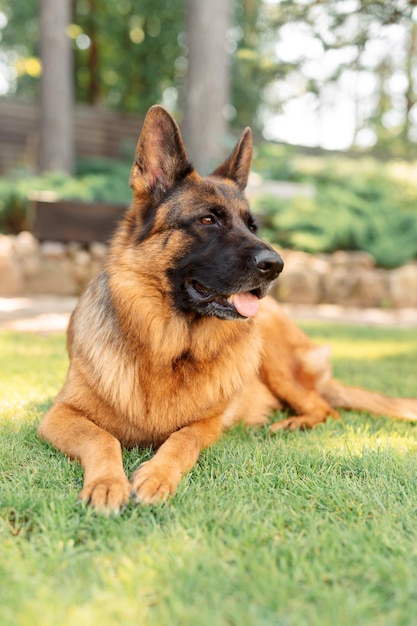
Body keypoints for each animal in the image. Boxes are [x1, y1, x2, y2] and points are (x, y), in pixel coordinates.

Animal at [38, 103, 416, 512]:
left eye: (252, 226)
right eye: (208, 219)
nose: (276, 265)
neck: (168, 348)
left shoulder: (208, 423)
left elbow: (181, 440)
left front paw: (156, 476)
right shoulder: (57, 416)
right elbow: (102, 437)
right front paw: (107, 483)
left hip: (273, 357)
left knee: (325, 407)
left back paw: (292, 422)